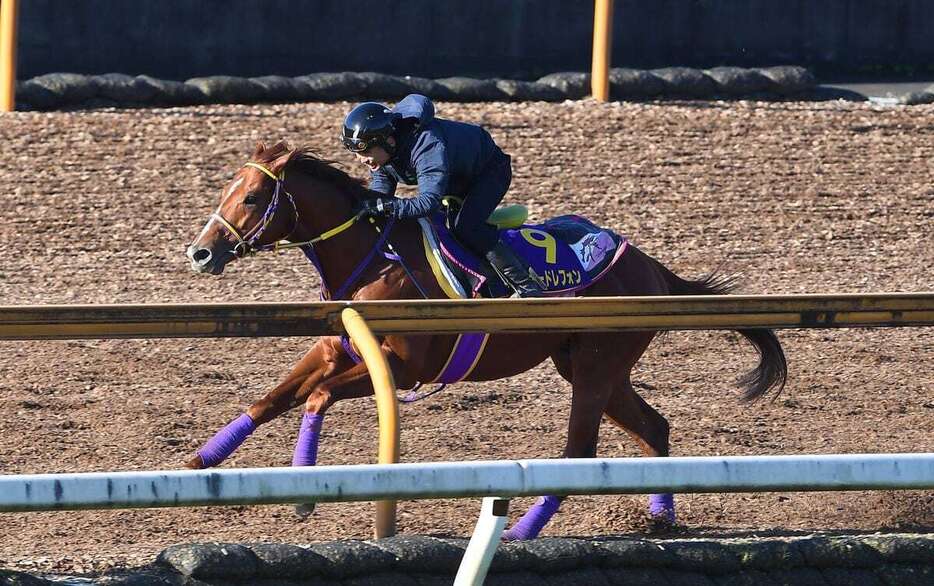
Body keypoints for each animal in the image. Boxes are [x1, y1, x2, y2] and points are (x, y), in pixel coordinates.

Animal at [186, 143, 788, 540]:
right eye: (226, 189)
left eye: (254, 196)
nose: (201, 252)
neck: (376, 257)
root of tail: (655, 269)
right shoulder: (339, 349)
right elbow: (271, 399)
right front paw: (201, 461)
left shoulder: (403, 369)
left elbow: (314, 397)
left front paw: (305, 488)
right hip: (591, 366)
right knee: (654, 428)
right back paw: (659, 518)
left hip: (597, 367)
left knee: (579, 451)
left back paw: (521, 532)